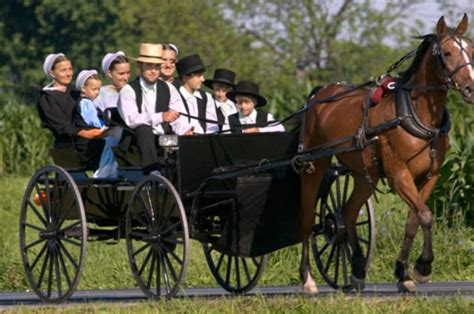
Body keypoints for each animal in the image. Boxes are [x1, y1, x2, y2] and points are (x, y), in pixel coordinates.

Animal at [300, 14, 474, 294]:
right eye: (447, 52)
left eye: (471, 50)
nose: (471, 88)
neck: (414, 113)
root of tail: (319, 94)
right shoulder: (398, 175)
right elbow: (426, 216)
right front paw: (423, 267)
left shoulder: (430, 177)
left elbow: (414, 220)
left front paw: (403, 272)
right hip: (313, 164)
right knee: (306, 218)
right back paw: (307, 278)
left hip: (364, 174)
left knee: (348, 212)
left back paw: (357, 270)